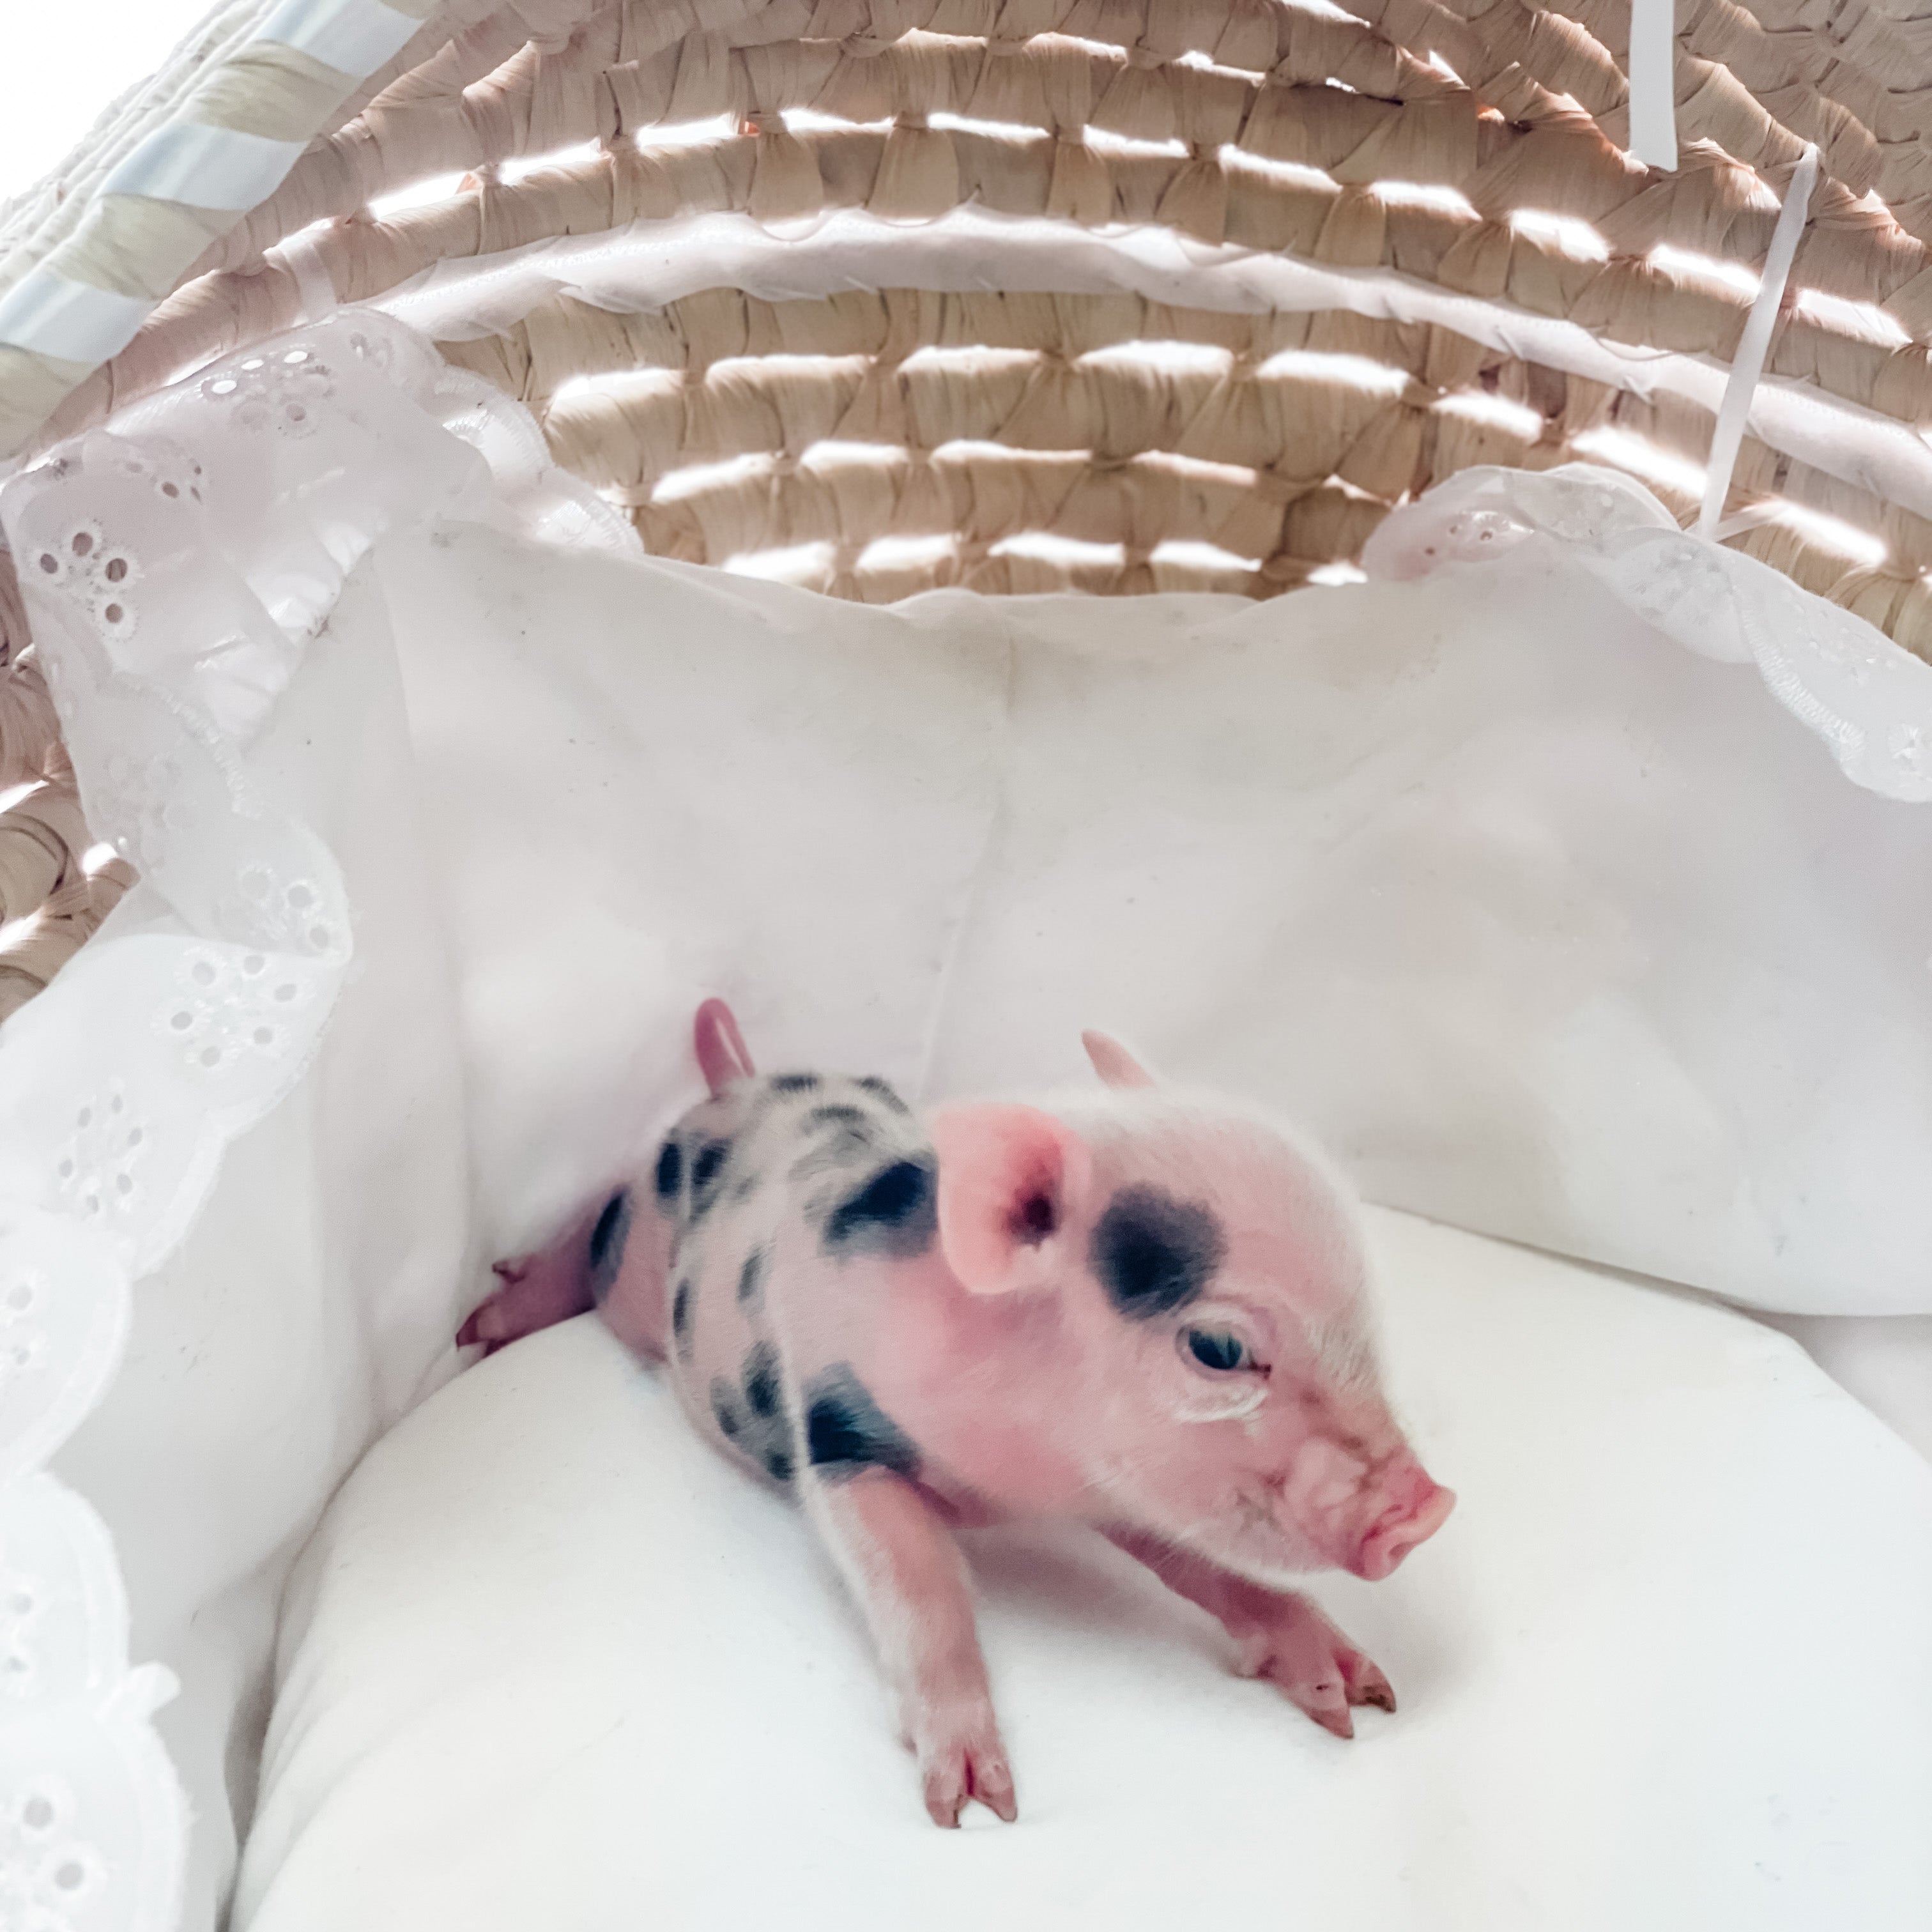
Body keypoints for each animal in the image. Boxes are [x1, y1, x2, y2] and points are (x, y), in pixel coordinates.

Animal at [459, 1000, 1455, 1827]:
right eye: (1217, 1348)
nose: (1427, 1510)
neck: (1018, 1477)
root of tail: (739, 1083)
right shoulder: (841, 1440)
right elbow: (921, 1587)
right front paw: (977, 1804)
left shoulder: (1122, 1485)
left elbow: (1214, 1570)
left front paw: (1363, 1696)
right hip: (637, 1267)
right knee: (595, 1230)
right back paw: (483, 1324)